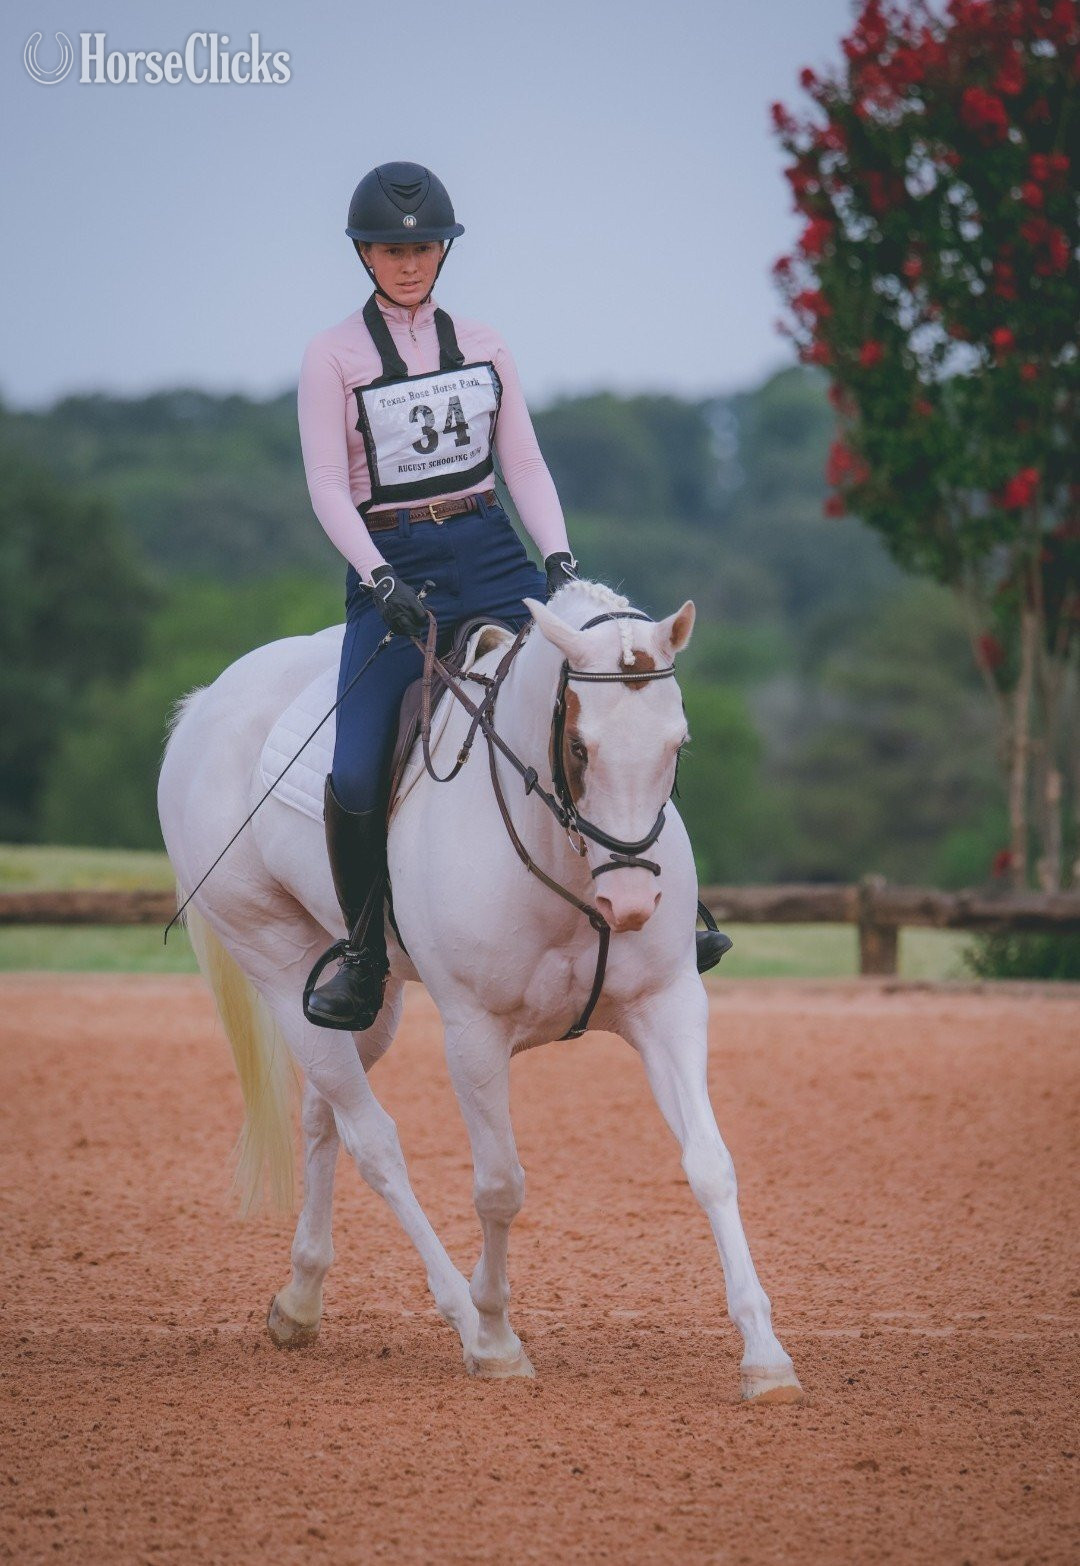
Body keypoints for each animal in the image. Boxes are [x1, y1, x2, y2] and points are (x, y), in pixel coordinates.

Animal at [156, 577, 803, 1402]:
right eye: (579, 746)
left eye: (677, 744)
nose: (629, 904)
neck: (564, 857)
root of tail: (206, 702)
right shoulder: (474, 1032)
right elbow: (500, 1186)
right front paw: (496, 1337)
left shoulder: (669, 1006)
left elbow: (710, 1164)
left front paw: (765, 1355)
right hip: (273, 959)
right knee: (375, 1143)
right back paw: (462, 1316)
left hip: (364, 1005)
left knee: (323, 1114)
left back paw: (300, 1300)